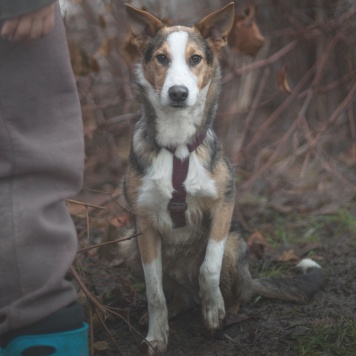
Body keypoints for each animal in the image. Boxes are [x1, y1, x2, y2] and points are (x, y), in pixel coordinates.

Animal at [121, 2, 324, 354]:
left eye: (195, 59)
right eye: (161, 58)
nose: (178, 93)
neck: (177, 147)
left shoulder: (224, 203)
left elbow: (209, 268)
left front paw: (214, 311)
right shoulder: (143, 222)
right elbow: (153, 291)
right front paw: (156, 335)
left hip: (234, 243)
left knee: (236, 293)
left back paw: (228, 313)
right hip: (127, 243)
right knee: (176, 297)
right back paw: (175, 309)